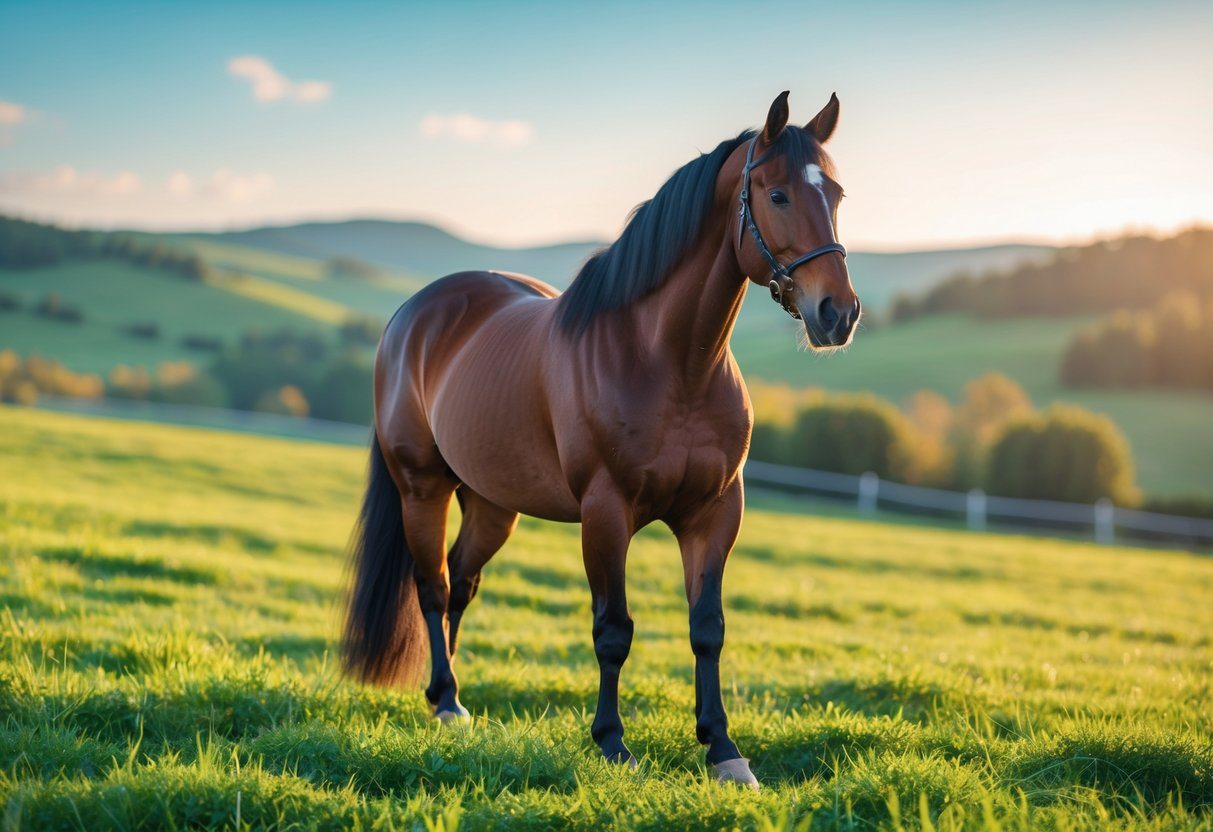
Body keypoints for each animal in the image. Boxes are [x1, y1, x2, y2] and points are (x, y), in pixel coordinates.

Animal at [342, 91, 860, 789]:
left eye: (835, 192)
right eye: (777, 195)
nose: (839, 313)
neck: (672, 363)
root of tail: (411, 316)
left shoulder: (715, 513)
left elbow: (708, 628)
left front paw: (723, 749)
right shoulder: (606, 513)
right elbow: (613, 629)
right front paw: (613, 742)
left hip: (492, 505)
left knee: (462, 583)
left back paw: (448, 698)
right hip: (421, 490)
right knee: (434, 586)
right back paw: (446, 701)